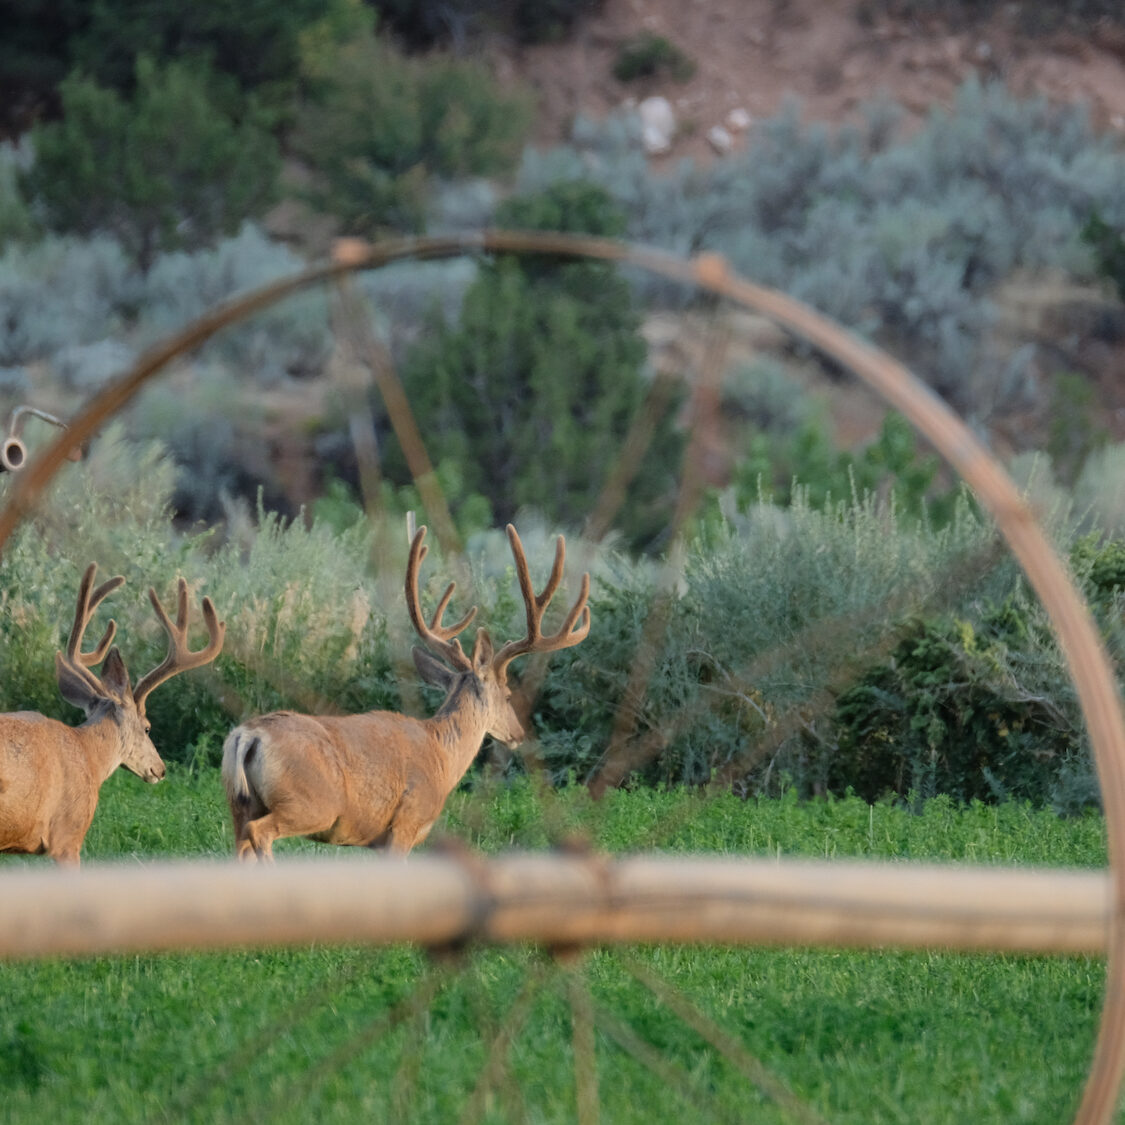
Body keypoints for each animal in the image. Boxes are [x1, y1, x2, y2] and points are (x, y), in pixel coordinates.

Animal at [219, 522, 589, 855]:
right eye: (508, 695)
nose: (517, 733)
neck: (441, 755)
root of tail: (248, 735)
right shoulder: (405, 823)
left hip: (239, 803)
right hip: (308, 803)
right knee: (260, 833)